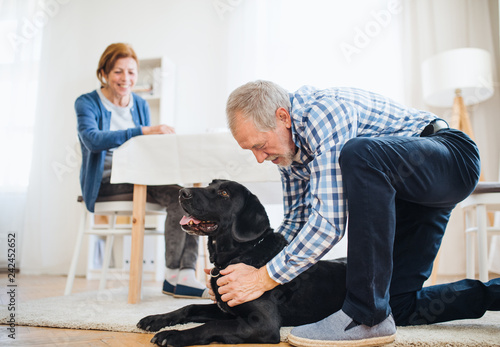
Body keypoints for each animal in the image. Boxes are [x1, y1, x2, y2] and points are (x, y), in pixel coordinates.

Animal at [138, 181, 348, 346]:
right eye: (210, 184)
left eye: (224, 193)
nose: (182, 192)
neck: (240, 254)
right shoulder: (227, 309)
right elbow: (189, 307)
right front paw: (155, 319)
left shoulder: (262, 323)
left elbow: (210, 325)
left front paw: (174, 335)